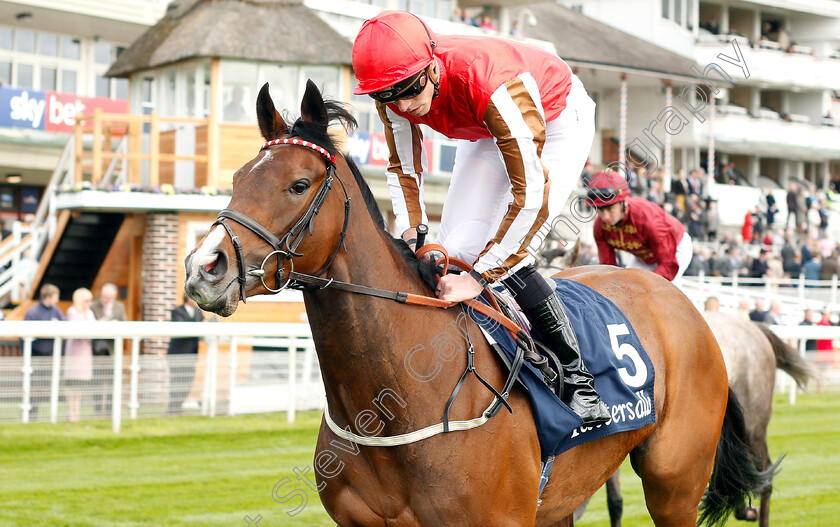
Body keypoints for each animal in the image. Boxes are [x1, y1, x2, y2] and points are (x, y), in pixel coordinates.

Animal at [182, 80, 768, 524]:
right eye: (237, 178)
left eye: (299, 184)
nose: (204, 267)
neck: (395, 400)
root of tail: (685, 305)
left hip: (676, 482)